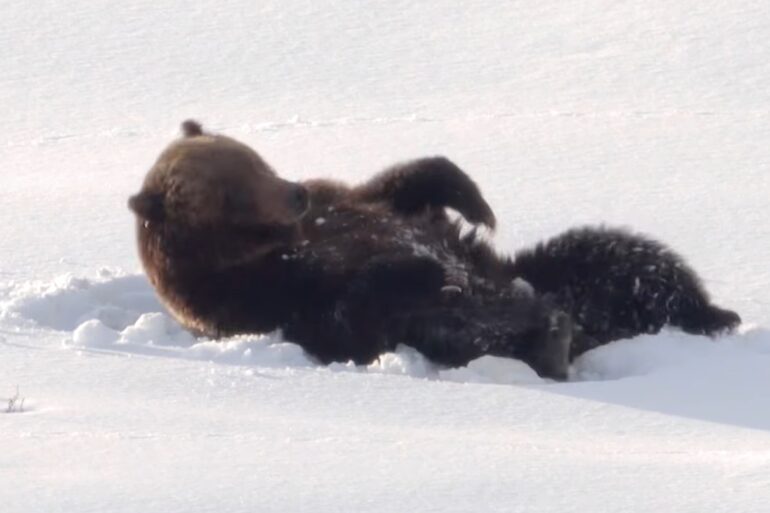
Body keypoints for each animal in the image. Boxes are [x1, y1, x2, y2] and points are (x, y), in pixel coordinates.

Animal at [128, 120, 740, 379]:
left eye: (257, 160)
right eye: (231, 190)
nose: (294, 194)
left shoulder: (350, 201)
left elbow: (406, 183)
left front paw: (477, 206)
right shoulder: (260, 295)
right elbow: (349, 312)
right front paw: (424, 269)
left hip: (556, 273)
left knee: (625, 259)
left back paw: (711, 313)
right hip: (465, 324)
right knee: (478, 328)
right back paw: (551, 339)